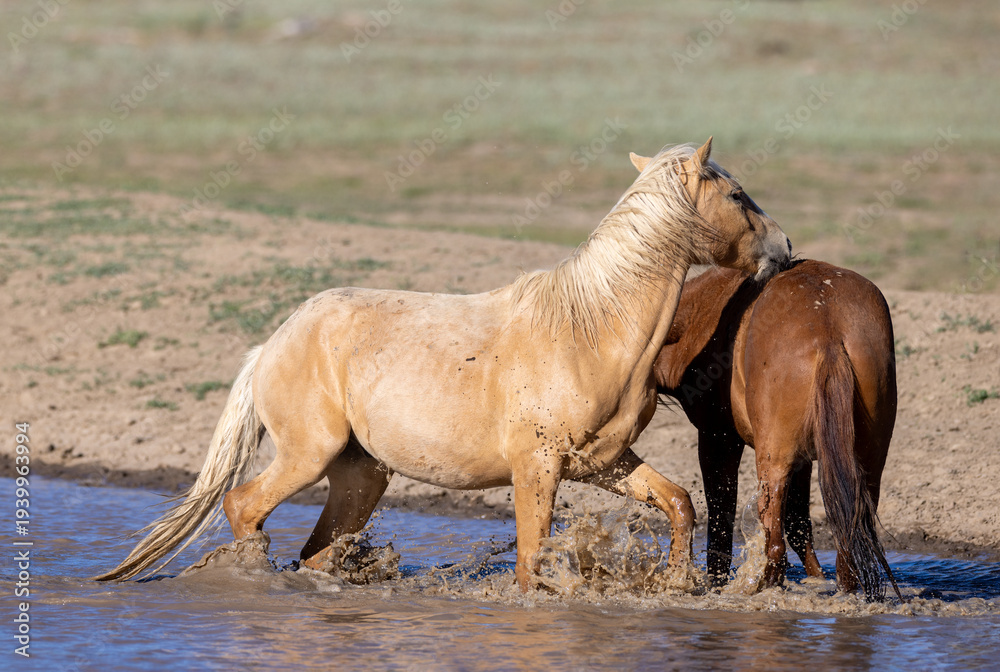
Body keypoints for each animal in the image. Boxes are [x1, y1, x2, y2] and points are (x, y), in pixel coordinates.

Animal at [97, 138, 791, 590]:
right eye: (736, 193)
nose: (784, 248)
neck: (590, 329)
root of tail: (271, 343)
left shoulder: (604, 461)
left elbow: (679, 502)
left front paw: (677, 583)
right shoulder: (537, 469)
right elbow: (533, 562)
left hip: (361, 474)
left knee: (317, 551)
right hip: (308, 455)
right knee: (244, 506)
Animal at [654, 259, 902, 601]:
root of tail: (827, 329)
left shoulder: (718, 440)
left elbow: (721, 518)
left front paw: (716, 582)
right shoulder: (804, 460)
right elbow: (800, 526)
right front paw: (816, 580)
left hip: (773, 462)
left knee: (774, 545)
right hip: (867, 461)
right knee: (848, 540)